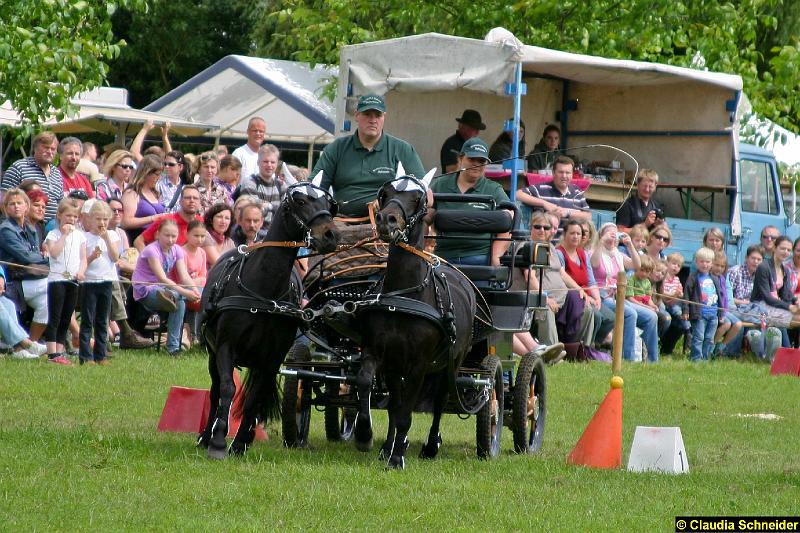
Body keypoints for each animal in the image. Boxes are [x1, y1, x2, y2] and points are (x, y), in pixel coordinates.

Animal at [200, 175, 340, 458]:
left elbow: (254, 398)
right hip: (212, 352)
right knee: (215, 390)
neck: (264, 292)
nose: (330, 235)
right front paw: (218, 442)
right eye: (300, 201)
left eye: (329, 203)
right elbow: (227, 389)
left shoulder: (272, 358)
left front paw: (239, 444)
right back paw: (205, 436)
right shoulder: (225, 347)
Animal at [354, 171, 478, 470]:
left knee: (440, 402)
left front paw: (398, 457)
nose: (386, 219)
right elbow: (370, 387)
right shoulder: (381, 355)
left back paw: (431, 446)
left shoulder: (418, 365)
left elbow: (406, 413)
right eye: (385, 193)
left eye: (418, 198)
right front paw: (367, 437)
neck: (403, 295)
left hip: (451, 364)